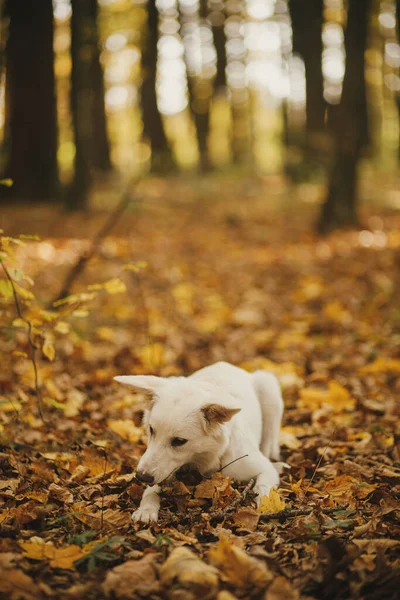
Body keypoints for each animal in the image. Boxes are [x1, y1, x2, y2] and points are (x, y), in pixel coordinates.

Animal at [115, 360, 284, 520]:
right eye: (151, 430)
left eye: (179, 441)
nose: (141, 476)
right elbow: (151, 490)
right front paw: (146, 510)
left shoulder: (262, 468)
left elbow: (264, 490)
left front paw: (265, 506)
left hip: (269, 389)